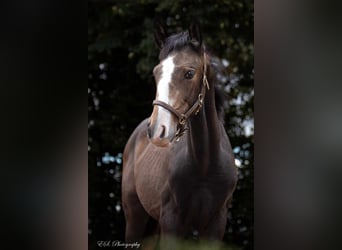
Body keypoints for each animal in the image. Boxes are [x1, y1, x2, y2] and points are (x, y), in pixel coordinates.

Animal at [122, 22, 238, 249]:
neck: (205, 164)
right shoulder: (172, 222)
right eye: (156, 73)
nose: (157, 131)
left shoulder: (215, 225)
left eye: (189, 73)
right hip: (135, 218)